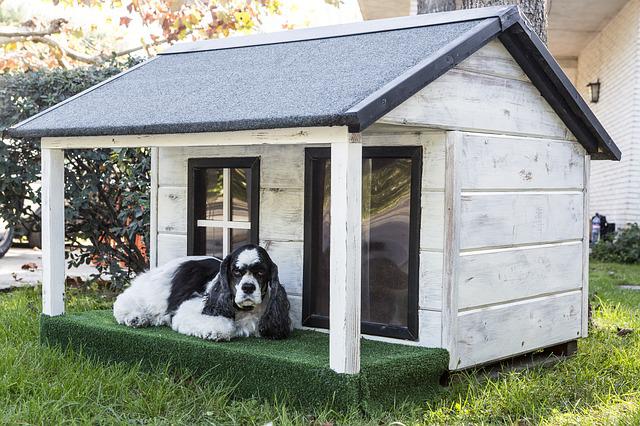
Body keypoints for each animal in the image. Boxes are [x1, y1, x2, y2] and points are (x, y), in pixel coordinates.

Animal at [112, 245, 290, 342]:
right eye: (236, 271)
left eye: (261, 272)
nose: (248, 287)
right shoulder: (188, 310)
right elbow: (222, 324)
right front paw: (217, 331)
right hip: (154, 292)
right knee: (125, 299)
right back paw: (135, 317)